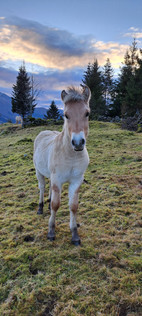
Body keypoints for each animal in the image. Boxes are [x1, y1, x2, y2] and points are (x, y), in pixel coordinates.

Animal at [33, 85, 91, 246]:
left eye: (87, 113)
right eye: (66, 115)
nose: (78, 143)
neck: (71, 156)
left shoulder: (76, 181)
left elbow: (73, 206)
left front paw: (75, 235)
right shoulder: (57, 179)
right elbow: (56, 204)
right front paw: (51, 232)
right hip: (39, 172)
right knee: (42, 188)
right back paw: (40, 208)